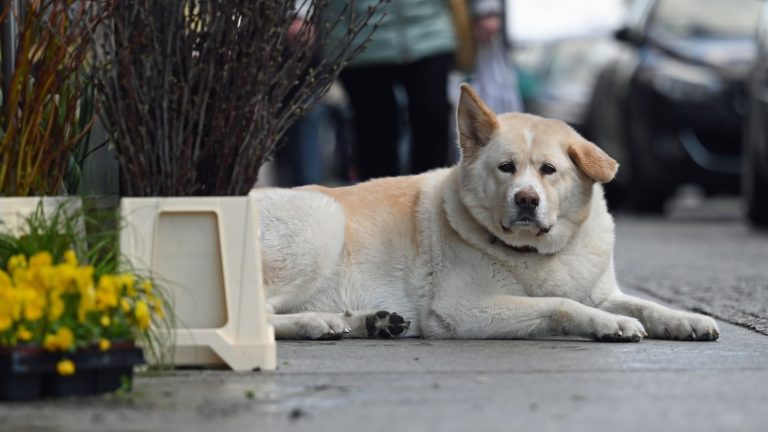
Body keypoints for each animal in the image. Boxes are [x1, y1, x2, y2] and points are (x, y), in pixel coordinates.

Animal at [256, 83, 720, 340]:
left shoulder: (604, 293)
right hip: (321, 224)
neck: (538, 254)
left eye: (548, 170)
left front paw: (685, 319)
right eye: (506, 168)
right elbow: (559, 305)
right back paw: (316, 323)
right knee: (259, 313)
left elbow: (643, 305)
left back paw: (372, 322)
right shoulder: (464, 309)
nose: (526, 200)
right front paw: (609, 325)